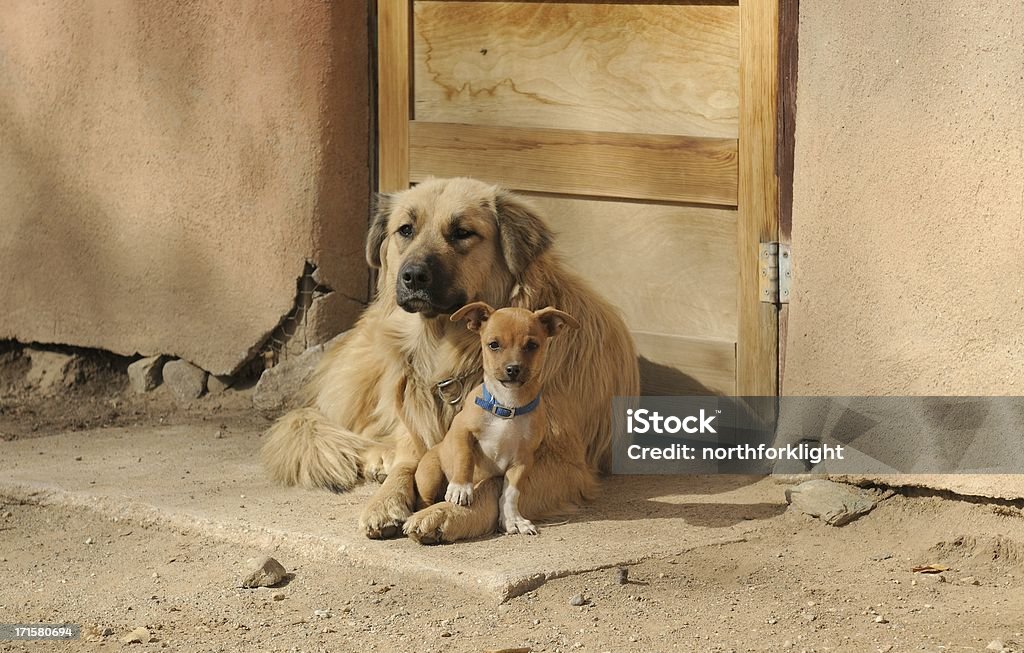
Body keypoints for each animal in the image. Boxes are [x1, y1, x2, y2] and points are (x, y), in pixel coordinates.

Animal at [413, 302, 577, 536]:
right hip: (429, 475)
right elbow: (464, 457)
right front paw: (461, 488)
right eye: (493, 345)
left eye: (532, 345)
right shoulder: (461, 430)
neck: (508, 407)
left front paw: (513, 520)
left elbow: (511, 493)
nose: (513, 369)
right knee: (423, 500)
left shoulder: (523, 461)